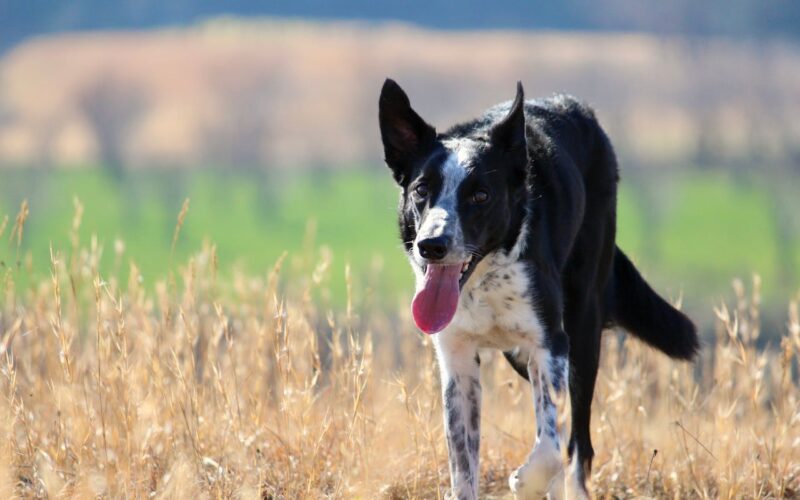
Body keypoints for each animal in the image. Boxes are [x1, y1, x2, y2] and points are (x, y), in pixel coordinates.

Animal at [378, 80, 696, 498]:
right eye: (420, 190)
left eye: (481, 195)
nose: (432, 245)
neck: (486, 279)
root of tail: (577, 107)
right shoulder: (457, 360)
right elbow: (463, 465)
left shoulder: (551, 343)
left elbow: (549, 450)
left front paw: (525, 481)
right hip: (523, 357)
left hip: (582, 330)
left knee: (577, 442)